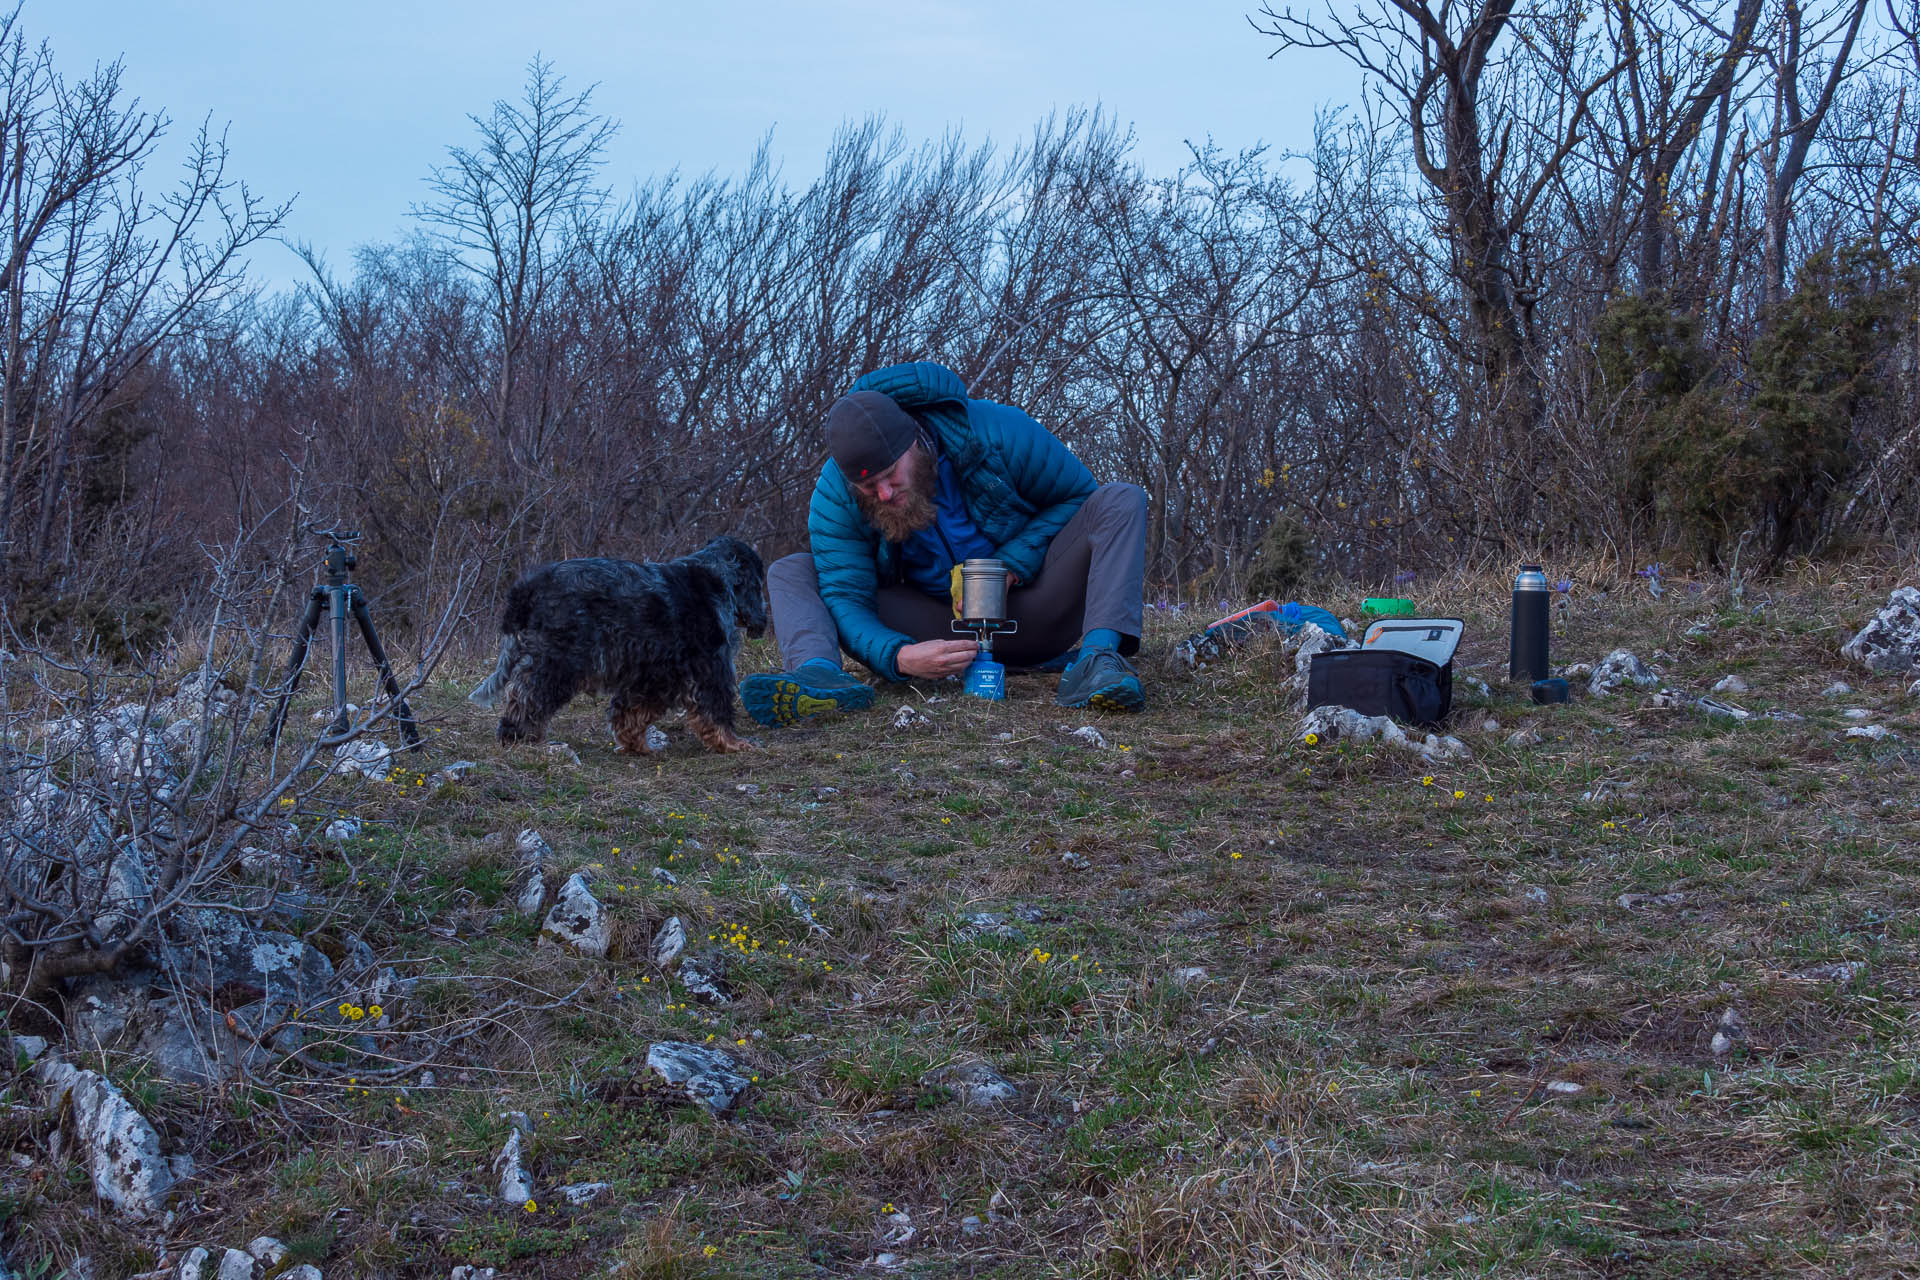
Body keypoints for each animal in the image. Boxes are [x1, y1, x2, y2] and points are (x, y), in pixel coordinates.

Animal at [468, 537, 768, 756]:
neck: (718, 577)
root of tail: (529, 587)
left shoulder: (653, 673)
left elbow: (630, 712)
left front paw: (637, 745)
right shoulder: (710, 667)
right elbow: (718, 710)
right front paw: (733, 743)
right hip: (558, 661)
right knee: (527, 698)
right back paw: (522, 737)